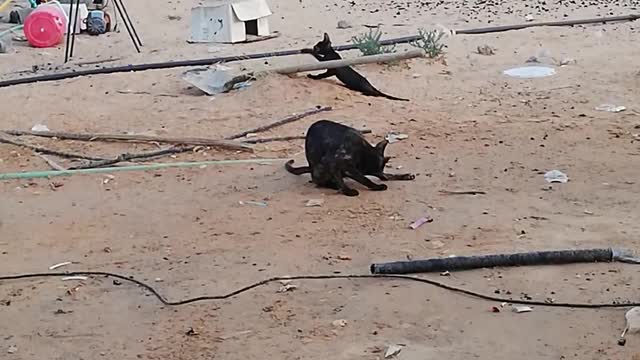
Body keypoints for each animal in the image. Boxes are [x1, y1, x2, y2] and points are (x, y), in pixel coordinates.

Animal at [284, 119, 416, 195]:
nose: (383, 177)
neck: (363, 152)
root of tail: (310, 168)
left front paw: (404, 176)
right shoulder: (333, 162)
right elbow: (363, 179)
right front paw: (348, 191)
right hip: (320, 168)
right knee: (319, 182)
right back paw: (333, 186)